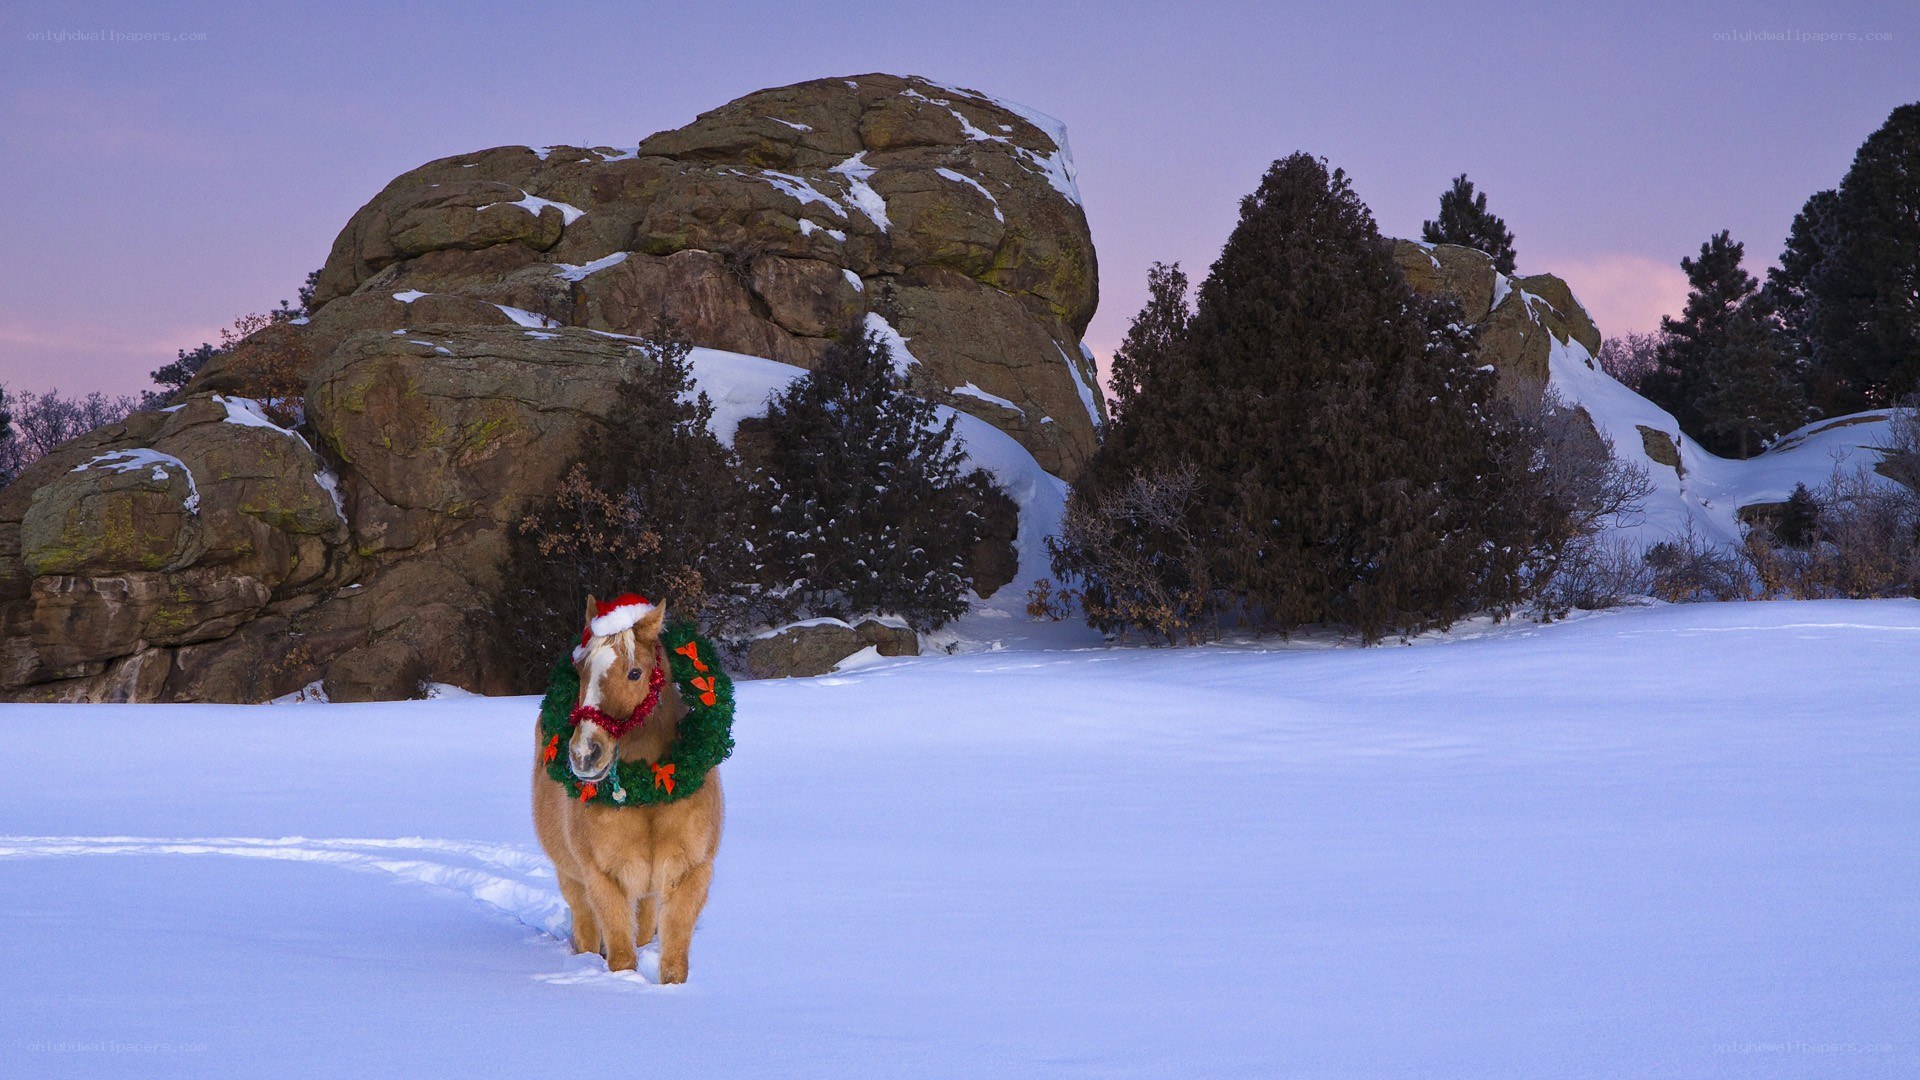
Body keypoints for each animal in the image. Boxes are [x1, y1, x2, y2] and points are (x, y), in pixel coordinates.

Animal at [532, 595, 724, 982]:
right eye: (580, 670)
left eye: (635, 673)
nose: (584, 754)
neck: (649, 795)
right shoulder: (604, 880)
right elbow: (621, 956)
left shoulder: (688, 876)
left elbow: (673, 962)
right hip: (572, 879)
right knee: (587, 932)